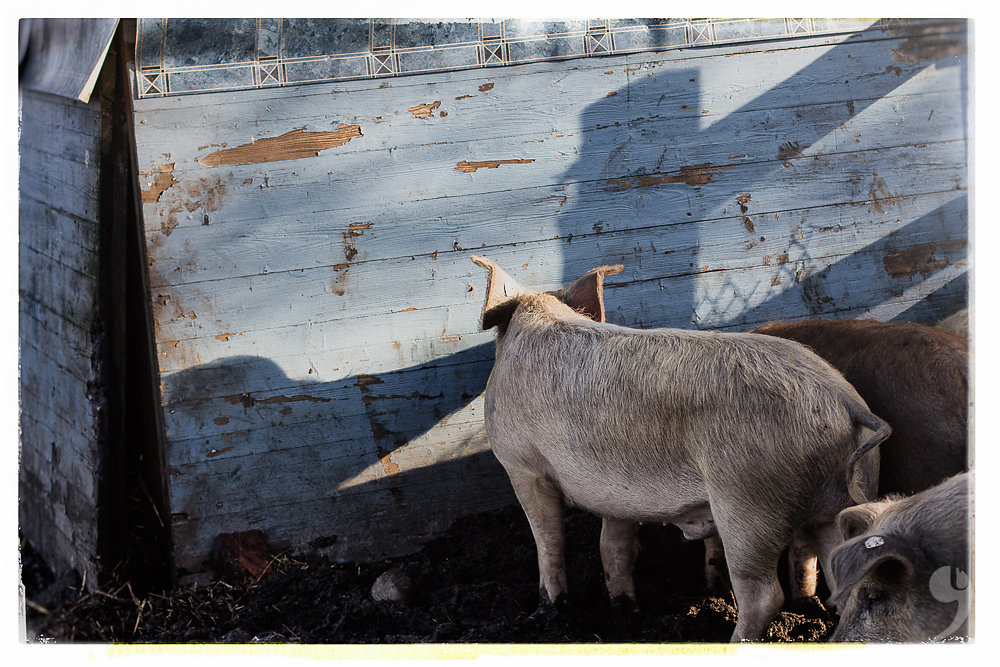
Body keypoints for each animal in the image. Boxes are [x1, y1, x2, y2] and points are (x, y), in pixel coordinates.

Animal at [472, 256, 888, 640]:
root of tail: (843, 401)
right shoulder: (616, 496)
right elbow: (614, 547)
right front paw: (625, 610)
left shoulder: (520, 465)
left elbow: (548, 539)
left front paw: (545, 612)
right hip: (844, 495)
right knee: (842, 573)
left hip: (749, 501)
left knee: (763, 595)